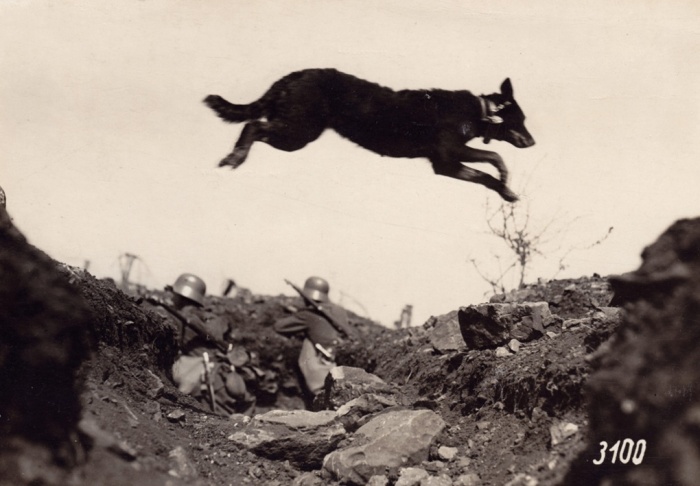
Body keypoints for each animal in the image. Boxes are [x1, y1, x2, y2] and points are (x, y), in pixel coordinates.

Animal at [205, 68, 532, 201]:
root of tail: (292, 76)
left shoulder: (446, 165)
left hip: (292, 128)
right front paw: (505, 177)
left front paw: (506, 192)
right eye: (520, 119)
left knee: (255, 125)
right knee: (253, 126)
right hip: (297, 133)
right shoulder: (450, 155)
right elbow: (495, 156)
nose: (532, 141)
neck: (478, 110)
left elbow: (486, 176)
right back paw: (236, 156)